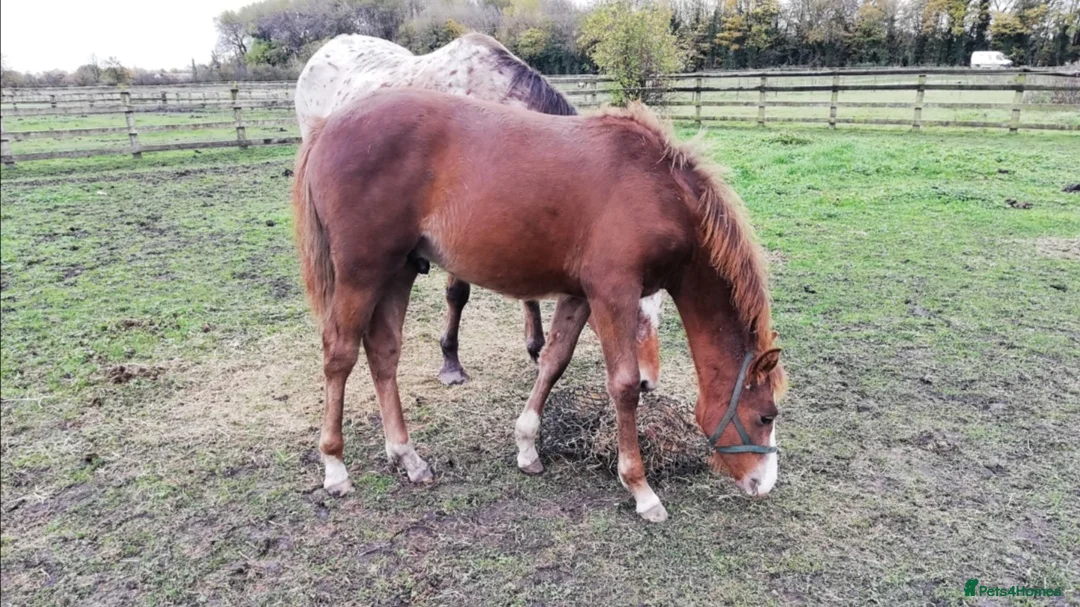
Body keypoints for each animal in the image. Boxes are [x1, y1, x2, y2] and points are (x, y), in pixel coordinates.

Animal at [291, 88, 787, 522]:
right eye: (766, 416)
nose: (764, 484)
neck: (658, 190)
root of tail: (327, 125)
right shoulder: (614, 292)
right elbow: (623, 385)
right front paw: (642, 490)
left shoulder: (581, 294)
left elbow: (554, 360)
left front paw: (527, 446)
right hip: (362, 271)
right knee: (340, 354)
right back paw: (335, 467)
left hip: (400, 269)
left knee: (384, 352)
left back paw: (408, 457)